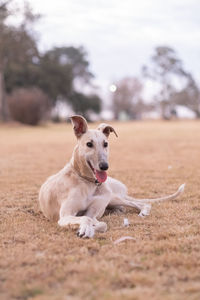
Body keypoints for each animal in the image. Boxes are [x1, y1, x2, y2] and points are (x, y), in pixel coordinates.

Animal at [38, 116, 185, 238]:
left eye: (106, 144)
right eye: (89, 144)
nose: (104, 166)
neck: (88, 183)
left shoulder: (93, 212)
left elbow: (97, 222)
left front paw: (88, 228)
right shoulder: (65, 216)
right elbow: (89, 219)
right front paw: (86, 229)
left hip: (113, 197)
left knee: (140, 203)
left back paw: (143, 211)